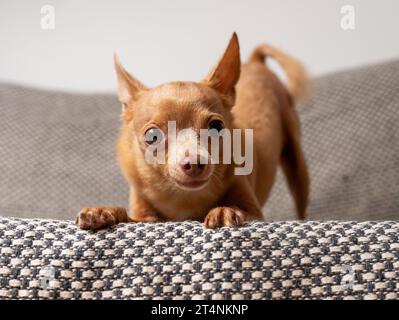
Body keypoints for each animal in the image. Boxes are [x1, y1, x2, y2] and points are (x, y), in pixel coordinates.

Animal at [76, 33, 310, 230]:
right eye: (152, 136)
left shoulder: (256, 214)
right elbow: (128, 216)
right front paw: (103, 211)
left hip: (297, 165)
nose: (195, 162)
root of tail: (254, 62)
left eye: (216, 127)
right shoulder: (145, 219)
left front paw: (225, 210)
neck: (183, 199)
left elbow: (240, 210)